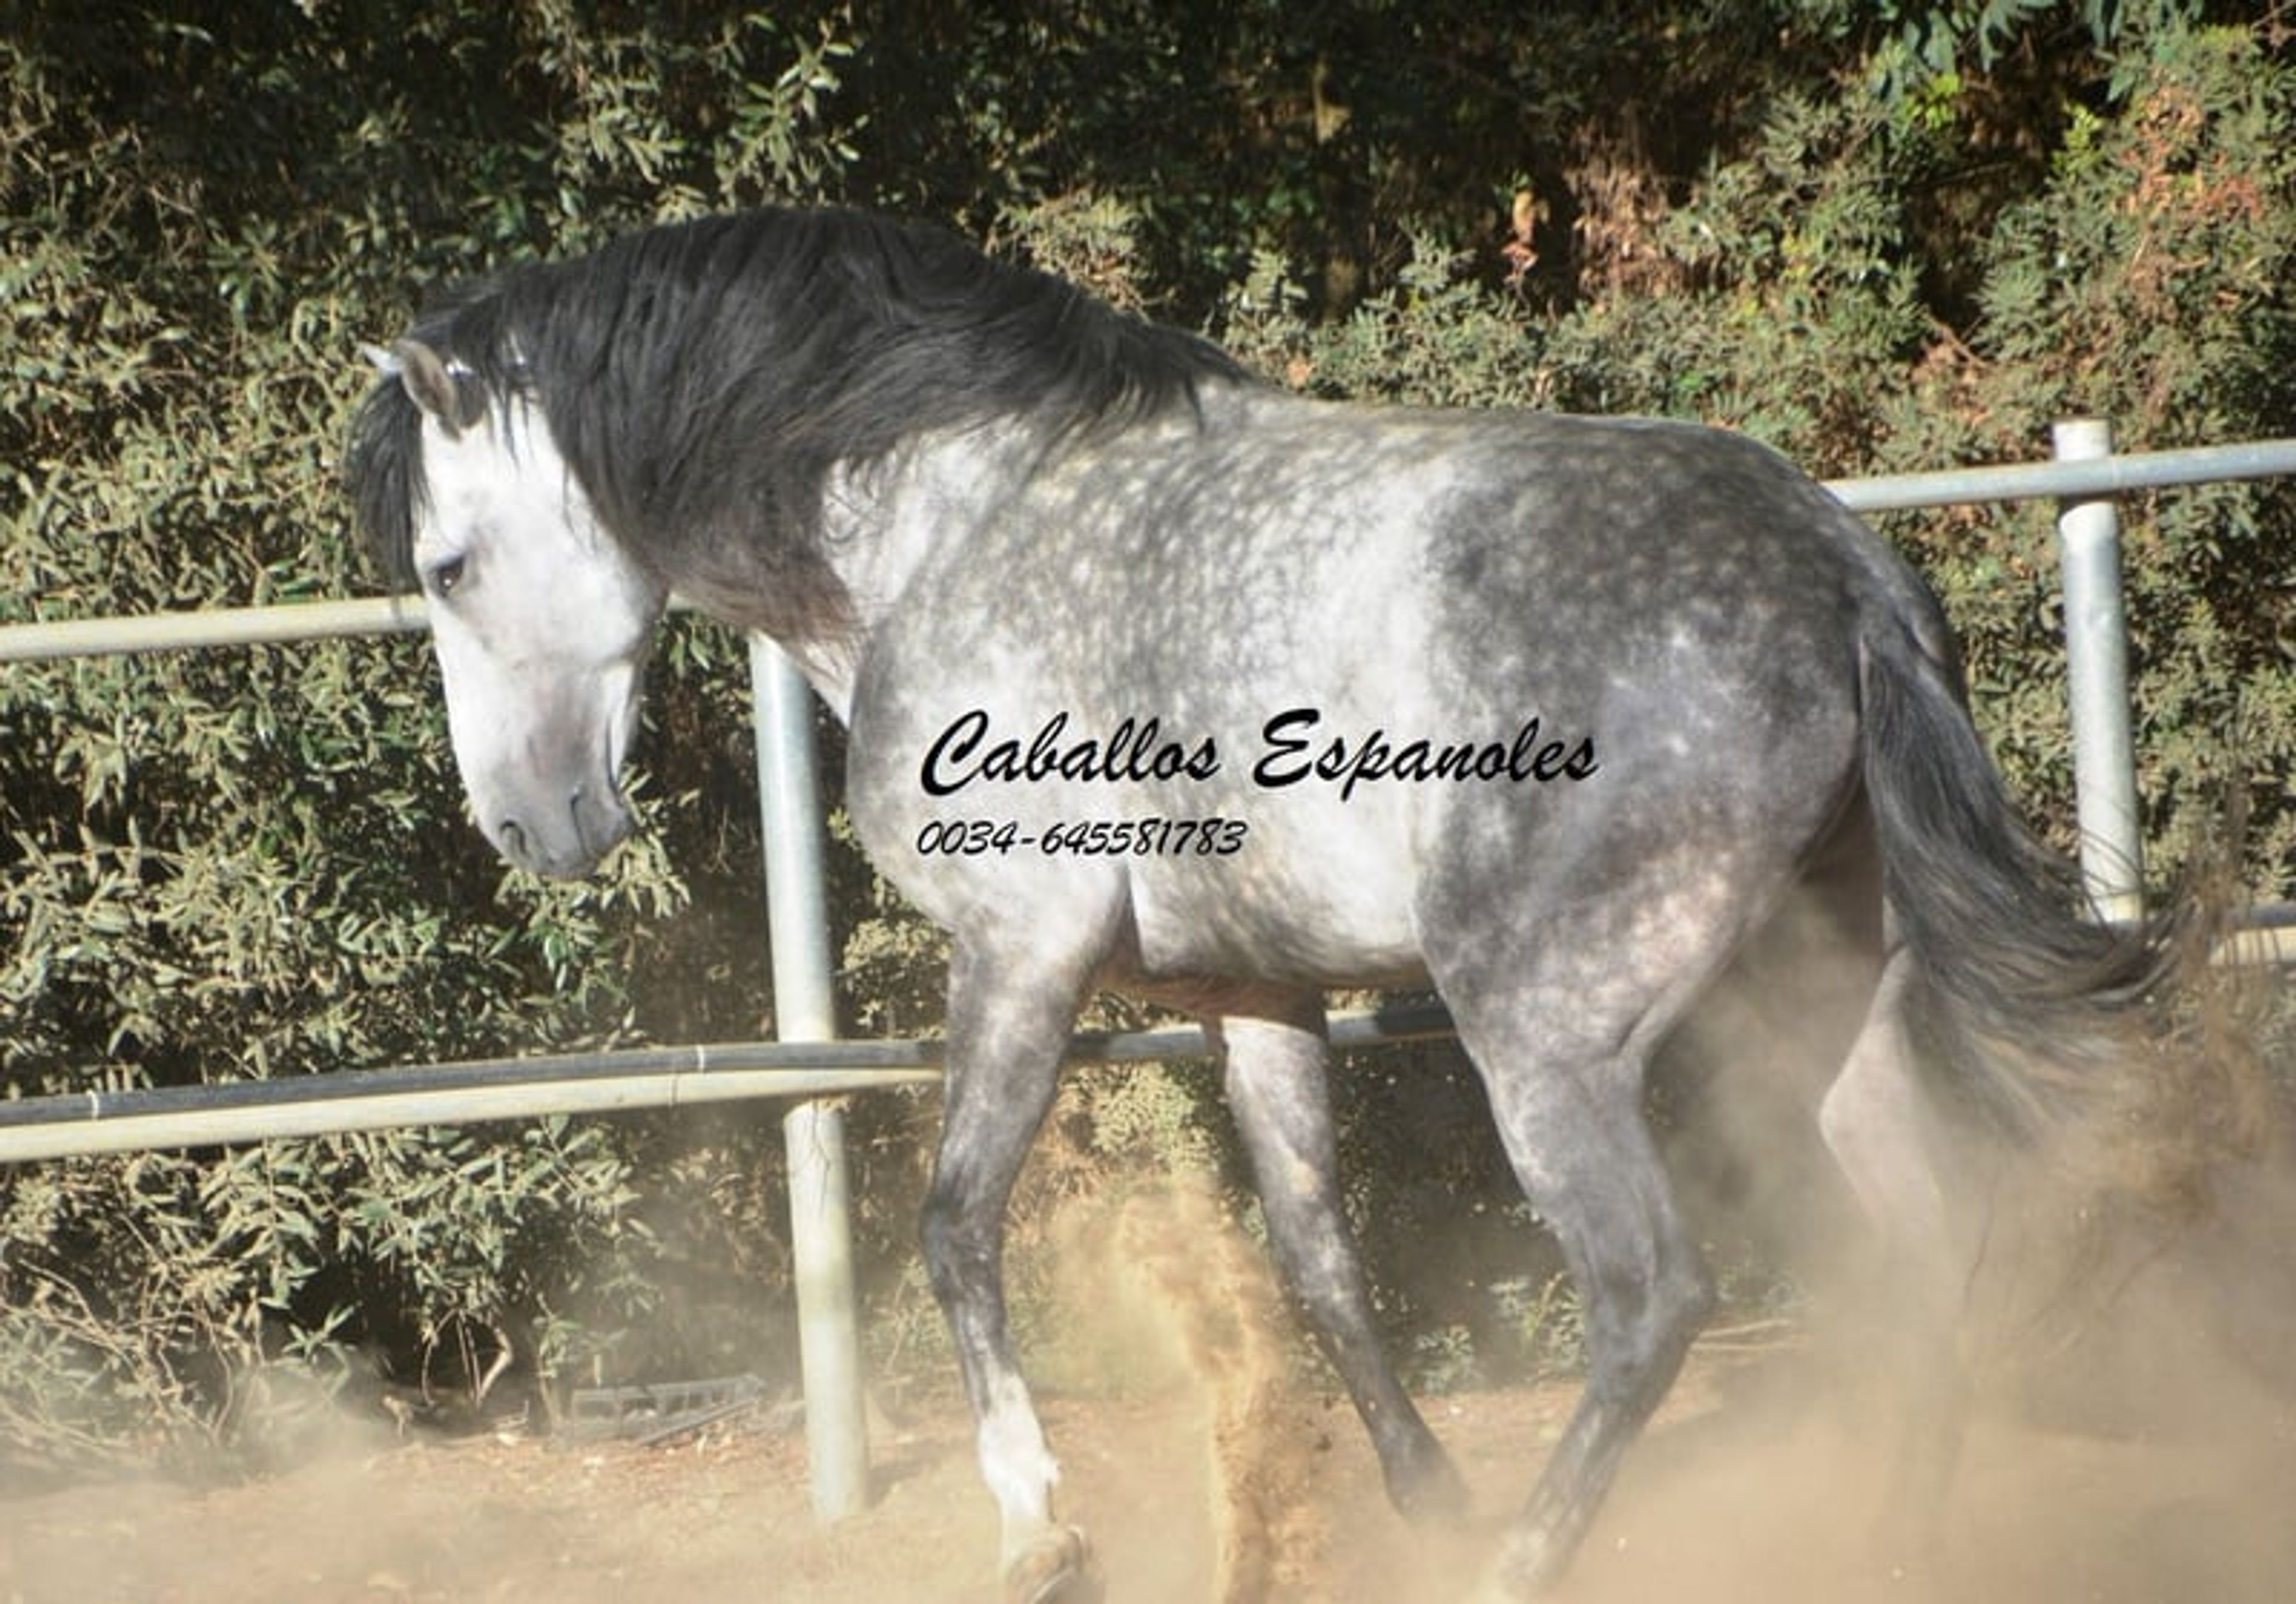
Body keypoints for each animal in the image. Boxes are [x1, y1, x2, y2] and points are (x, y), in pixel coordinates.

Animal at [345, 206, 2192, 1600]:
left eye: (447, 565)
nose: (530, 826)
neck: (955, 524)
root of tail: (1836, 574)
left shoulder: (1021, 952)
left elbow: (953, 1227)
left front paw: (1041, 1530)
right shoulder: (1251, 996)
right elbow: (1317, 1261)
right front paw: (1418, 1505)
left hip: (1552, 1033)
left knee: (1651, 1295)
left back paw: (1524, 1568)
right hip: (1815, 1001)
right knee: (1928, 1240)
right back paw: (1881, 1545)